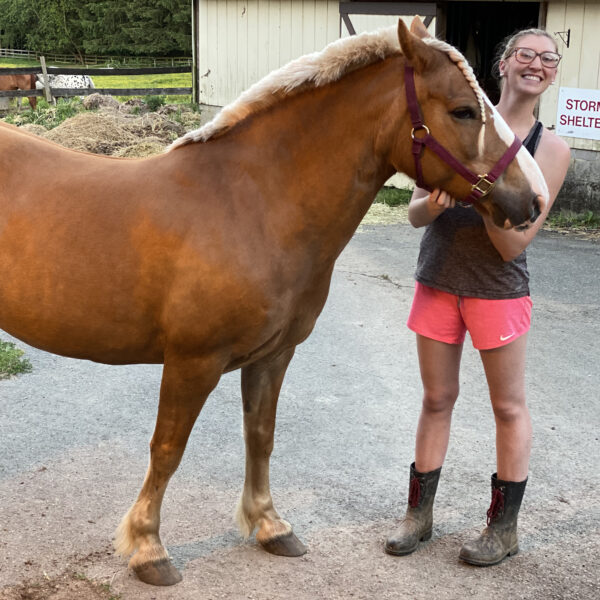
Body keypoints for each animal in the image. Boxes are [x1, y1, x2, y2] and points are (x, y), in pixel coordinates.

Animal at [0, 17, 548, 584]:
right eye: (463, 110)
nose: (533, 199)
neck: (252, 204)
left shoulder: (273, 355)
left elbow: (260, 436)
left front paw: (269, 526)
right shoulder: (192, 362)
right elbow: (168, 448)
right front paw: (149, 548)